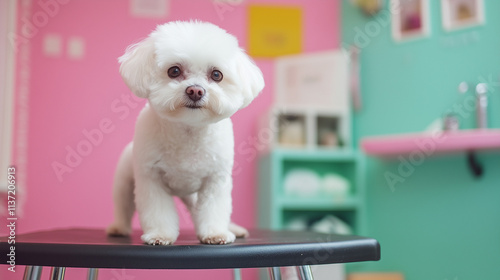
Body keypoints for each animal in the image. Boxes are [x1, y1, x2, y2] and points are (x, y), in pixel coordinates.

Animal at [107, 21, 266, 245]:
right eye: (174, 71)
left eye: (216, 75)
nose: (195, 91)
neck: (189, 132)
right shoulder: (151, 180)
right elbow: (158, 211)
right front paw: (159, 234)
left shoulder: (216, 180)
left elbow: (214, 209)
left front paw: (216, 233)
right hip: (124, 182)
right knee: (123, 205)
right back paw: (119, 227)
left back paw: (232, 228)